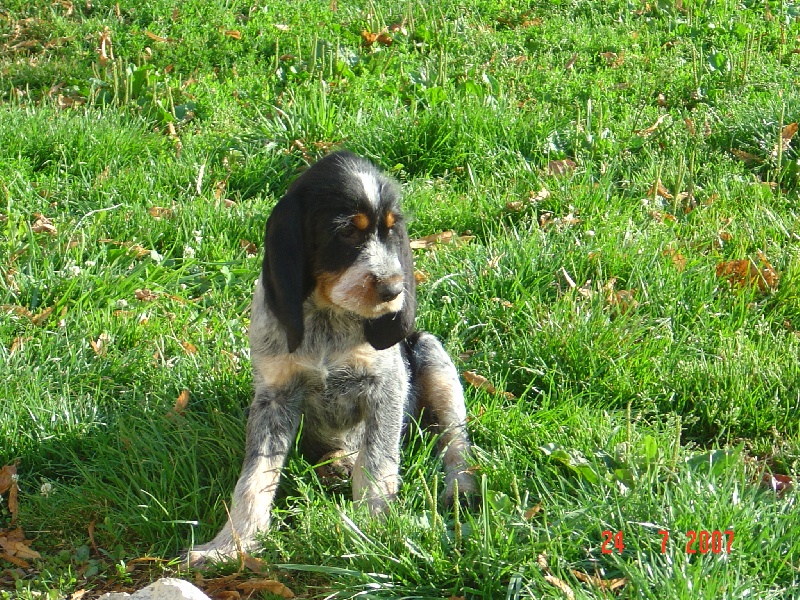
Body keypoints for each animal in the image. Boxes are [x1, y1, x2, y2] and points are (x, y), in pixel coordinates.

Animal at [188, 150, 476, 564]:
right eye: (346, 232)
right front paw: (231, 544)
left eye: (391, 231)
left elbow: (376, 462)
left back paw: (460, 488)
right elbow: (255, 476)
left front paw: (372, 530)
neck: (328, 316)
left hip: (431, 353)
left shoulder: (386, 388)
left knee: (455, 440)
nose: (394, 290)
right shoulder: (274, 397)